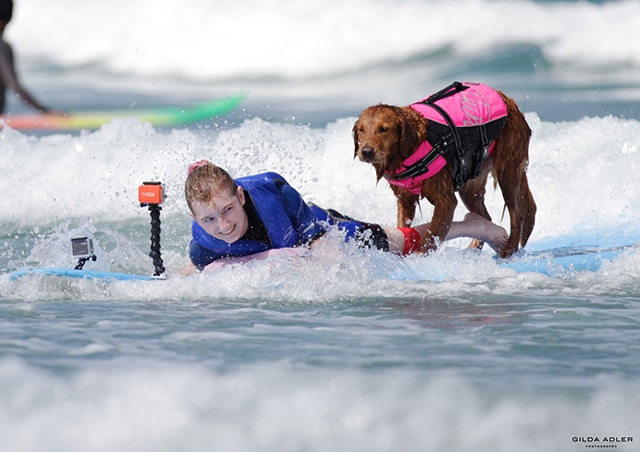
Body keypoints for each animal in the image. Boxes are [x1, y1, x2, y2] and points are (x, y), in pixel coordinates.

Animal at [352, 81, 536, 258]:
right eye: (361, 130)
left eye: (384, 129)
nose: (366, 151)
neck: (410, 149)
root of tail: (508, 100)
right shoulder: (405, 199)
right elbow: (405, 227)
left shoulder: (445, 201)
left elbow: (431, 235)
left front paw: (419, 256)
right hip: (471, 185)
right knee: (485, 217)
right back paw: (474, 247)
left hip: (508, 171)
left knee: (516, 215)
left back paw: (509, 249)